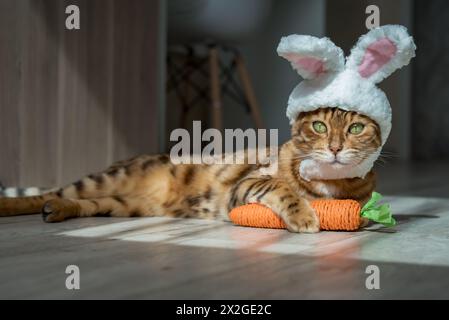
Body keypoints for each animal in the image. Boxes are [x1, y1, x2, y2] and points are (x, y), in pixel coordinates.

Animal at [0, 107, 380, 232]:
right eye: (319, 126)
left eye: (356, 128)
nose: (335, 148)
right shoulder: (244, 186)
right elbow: (281, 188)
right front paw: (303, 216)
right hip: (107, 179)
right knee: (49, 191)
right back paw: (12, 205)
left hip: (122, 205)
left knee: (78, 202)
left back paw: (57, 211)